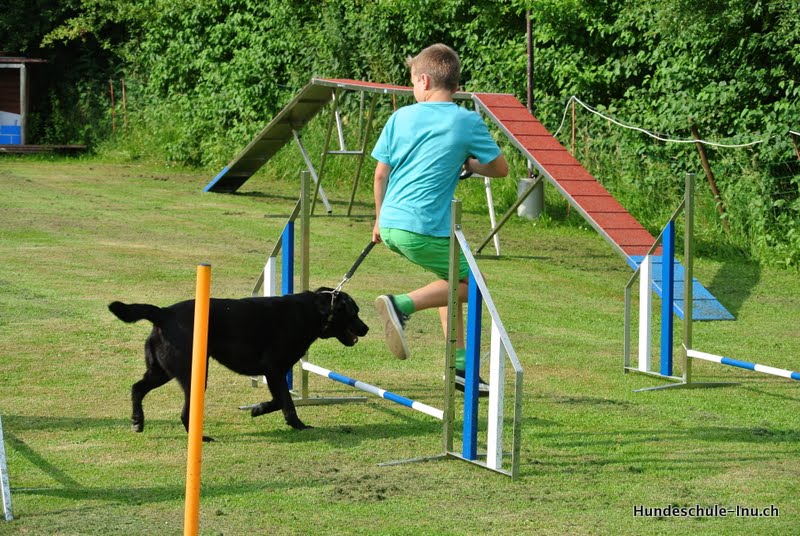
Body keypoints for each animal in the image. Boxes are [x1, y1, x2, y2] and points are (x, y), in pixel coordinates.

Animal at [108, 287, 368, 440]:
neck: (313, 312)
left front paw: (258, 408)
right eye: (354, 312)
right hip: (193, 373)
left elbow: (279, 399)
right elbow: (286, 401)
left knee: (137, 388)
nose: (366, 328)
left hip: (161, 371)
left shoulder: (273, 372)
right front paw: (296, 424)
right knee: (184, 412)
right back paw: (201, 438)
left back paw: (137, 421)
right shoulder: (274, 369)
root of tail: (163, 313)